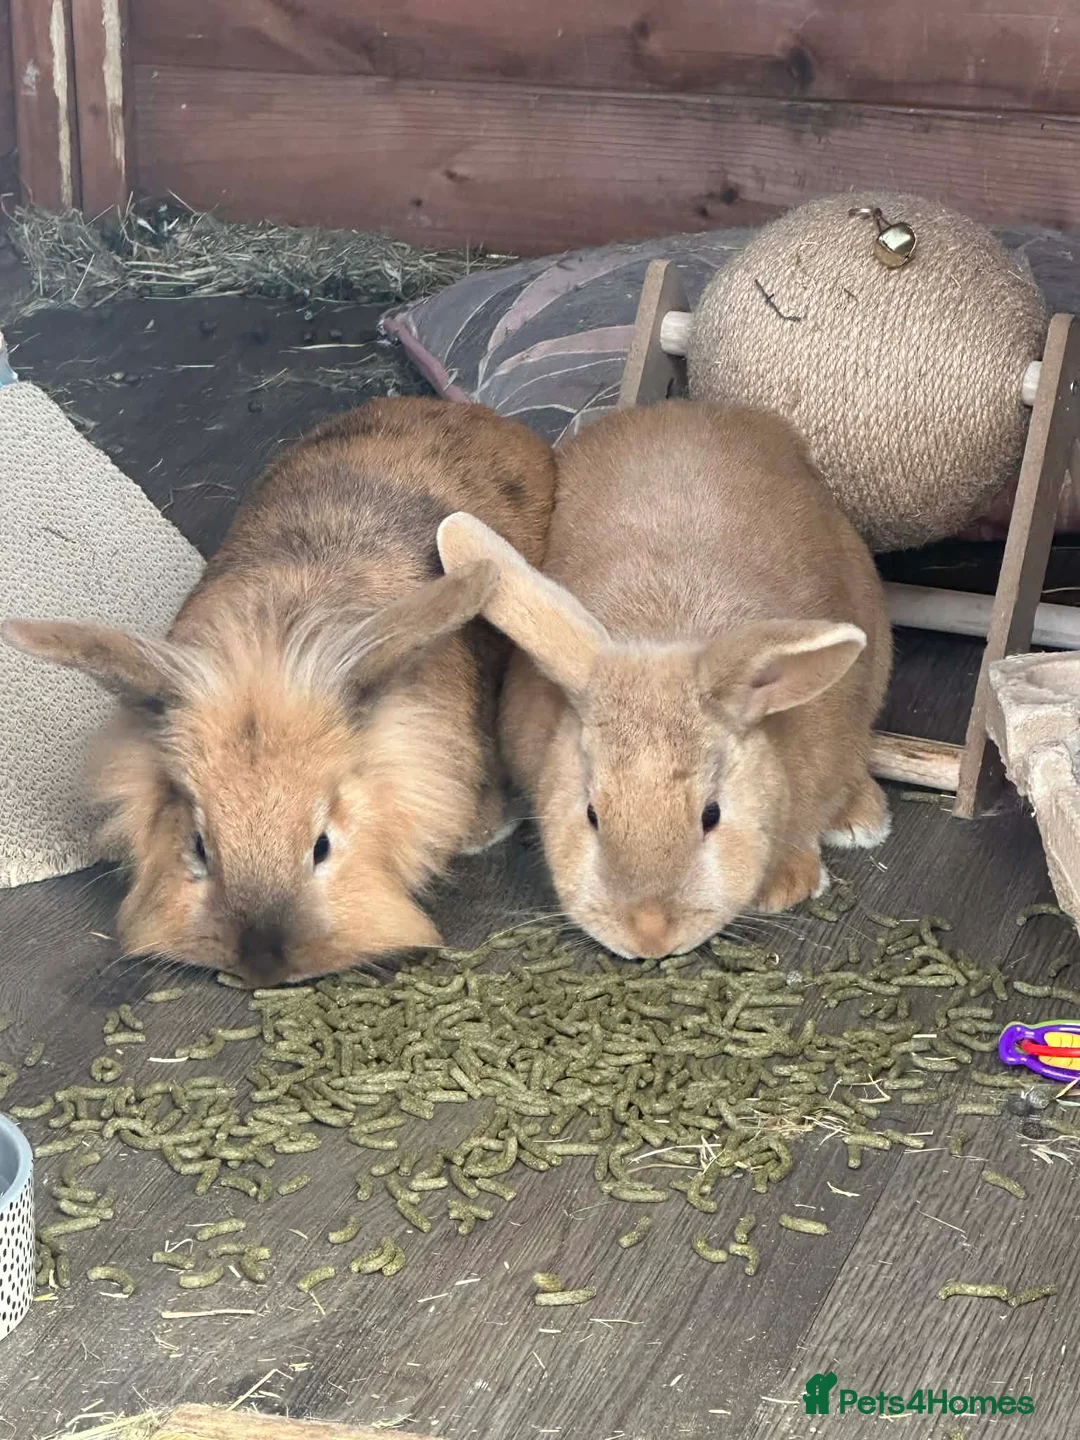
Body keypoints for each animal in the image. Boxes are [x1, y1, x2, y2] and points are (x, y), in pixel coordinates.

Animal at [437, 399, 892, 961]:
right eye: (592, 814)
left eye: (711, 816)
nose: (650, 934)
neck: (665, 629)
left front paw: (787, 885)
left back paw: (862, 819)